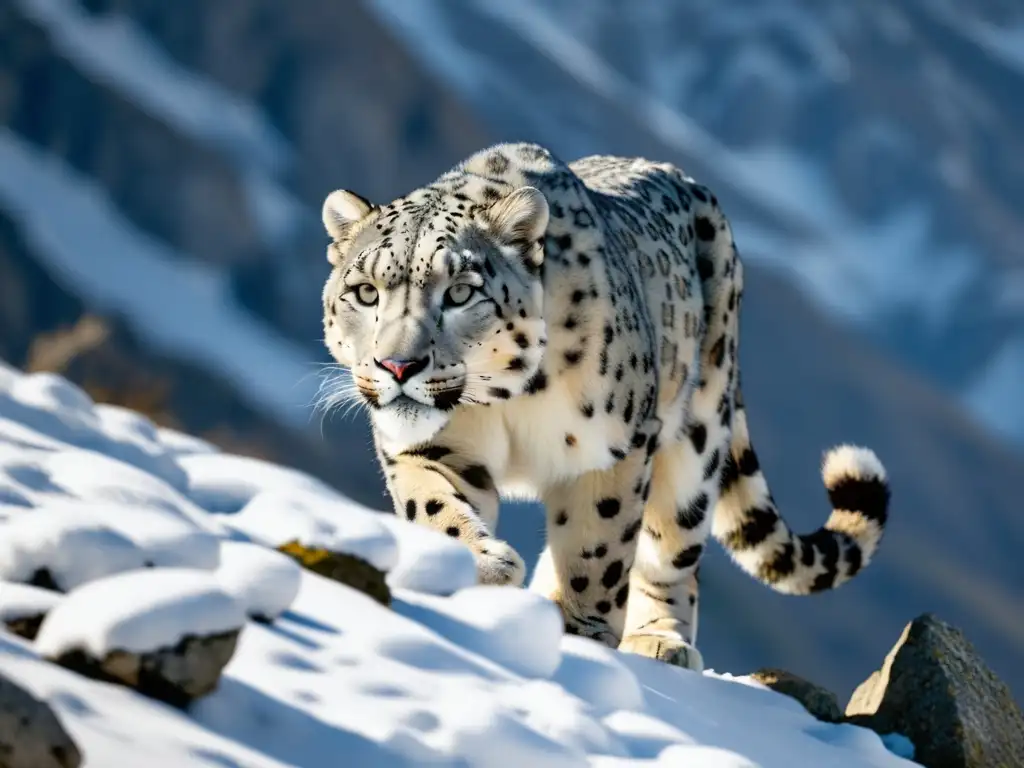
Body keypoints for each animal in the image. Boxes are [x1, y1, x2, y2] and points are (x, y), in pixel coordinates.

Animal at [317, 141, 888, 671]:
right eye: (365, 292)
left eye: (459, 292)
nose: (397, 366)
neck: (505, 402)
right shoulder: (433, 447)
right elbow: (434, 502)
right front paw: (479, 567)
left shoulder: (615, 448)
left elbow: (599, 544)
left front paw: (583, 629)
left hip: (697, 440)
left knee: (672, 551)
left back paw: (659, 639)